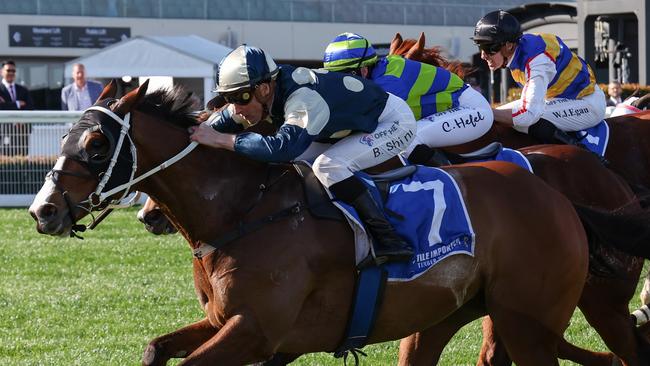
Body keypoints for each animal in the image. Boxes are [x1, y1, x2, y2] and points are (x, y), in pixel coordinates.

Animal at [29, 81, 588, 364]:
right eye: (66, 136)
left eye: (96, 144)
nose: (43, 210)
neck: (242, 213)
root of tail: (553, 195)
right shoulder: (227, 323)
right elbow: (154, 348)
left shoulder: (256, 331)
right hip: (444, 315)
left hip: (528, 325)